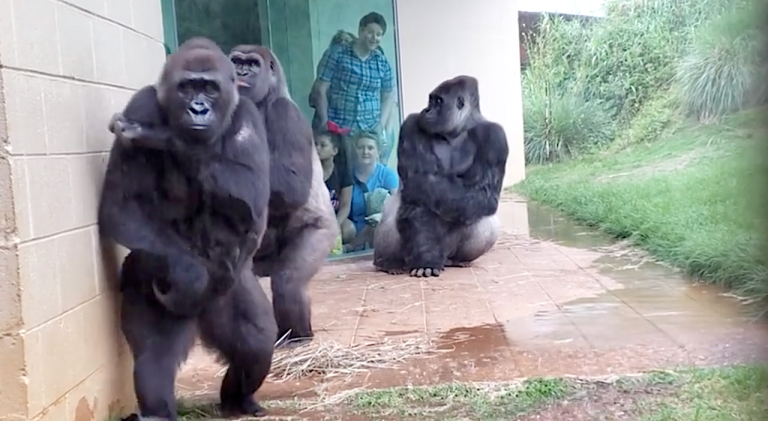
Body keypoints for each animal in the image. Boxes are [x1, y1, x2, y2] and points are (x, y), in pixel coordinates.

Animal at [100, 37, 278, 418]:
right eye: (187, 88)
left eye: (208, 88)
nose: (198, 109)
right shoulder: (141, 103)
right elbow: (121, 208)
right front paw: (190, 274)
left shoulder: (248, 114)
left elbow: (252, 198)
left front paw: (164, 137)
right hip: (147, 278)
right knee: (154, 356)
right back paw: (157, 411)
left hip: (227, 290)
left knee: (256, 343)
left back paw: (238, 399)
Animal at [226, 43, 338, 344]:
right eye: (236, 62)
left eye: (252, 64)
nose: (240, 73)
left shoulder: (286, 114)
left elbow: (292, 185)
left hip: (324, 232)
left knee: (288, 280)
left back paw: (297, 335)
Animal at [374, 75, 510, 278]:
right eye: (430, 100)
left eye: (438, 101)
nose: (426, 110)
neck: (457, 130)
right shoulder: (411, 124)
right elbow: (417, 199)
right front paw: (426, 258)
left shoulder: (495, 138)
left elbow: (483, 194)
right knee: (393, 208)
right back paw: (389, 263)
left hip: (449, 252)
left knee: (487, 220)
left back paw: (459, 260)